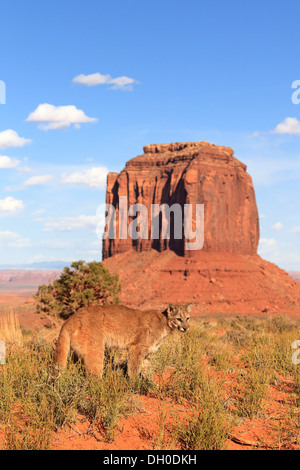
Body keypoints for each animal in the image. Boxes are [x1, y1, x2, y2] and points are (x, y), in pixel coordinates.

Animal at [53, 304, 192, 378]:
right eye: (179, 319)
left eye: (188, 318)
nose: (186, 328)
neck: (164, 324)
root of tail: (71, 318)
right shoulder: (136, 348)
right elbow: (134, 369)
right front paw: (135, 385)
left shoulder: (148, 354)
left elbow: (148, 371)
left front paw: (153, 387)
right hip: (95, 350)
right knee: (93, 377)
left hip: (77, 354)